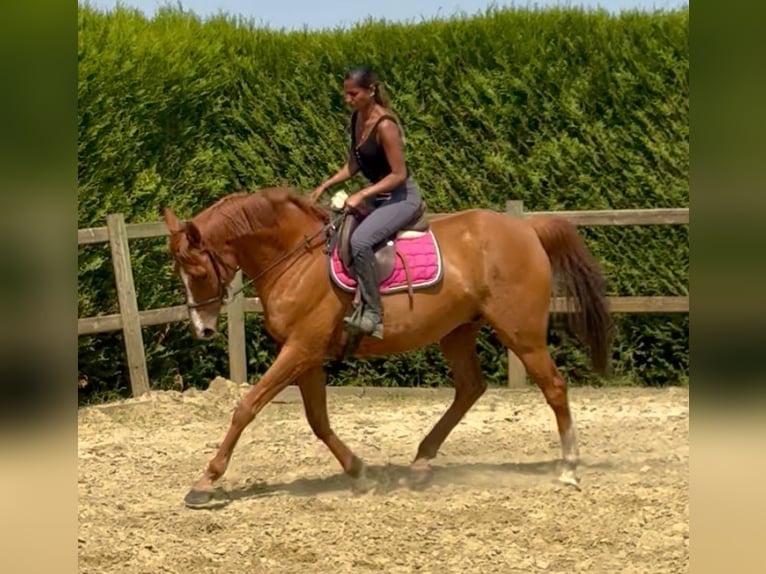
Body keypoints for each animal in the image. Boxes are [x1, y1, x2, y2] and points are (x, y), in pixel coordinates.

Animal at [161, 186, 612, 508]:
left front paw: (204, 482)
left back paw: (568, 469)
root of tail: (527, 229)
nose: (202, 330)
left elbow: (247, 406)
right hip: (457, 331)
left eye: (197, 271)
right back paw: (421, 463)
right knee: (470, 388)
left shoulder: (300, 350)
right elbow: (317, 421)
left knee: (554, 387)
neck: (296, 258)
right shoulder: (306, 356)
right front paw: (359, 472)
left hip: (521, 334)